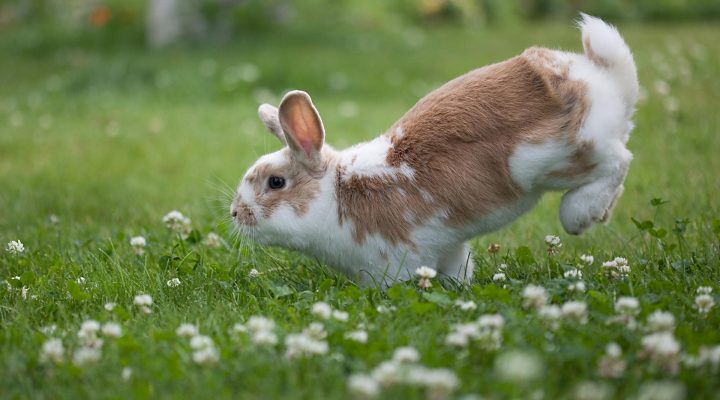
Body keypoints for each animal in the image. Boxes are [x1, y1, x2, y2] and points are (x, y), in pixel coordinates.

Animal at [229, 14, 636, 286]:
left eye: (276, 183)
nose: (235, 213)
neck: (336, 193)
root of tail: (601, 78)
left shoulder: (393, 260)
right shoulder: (447, 247)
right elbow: (458, 269)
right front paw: (461, 289)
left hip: (554, 158)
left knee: (618, 161)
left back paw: (580, 214)